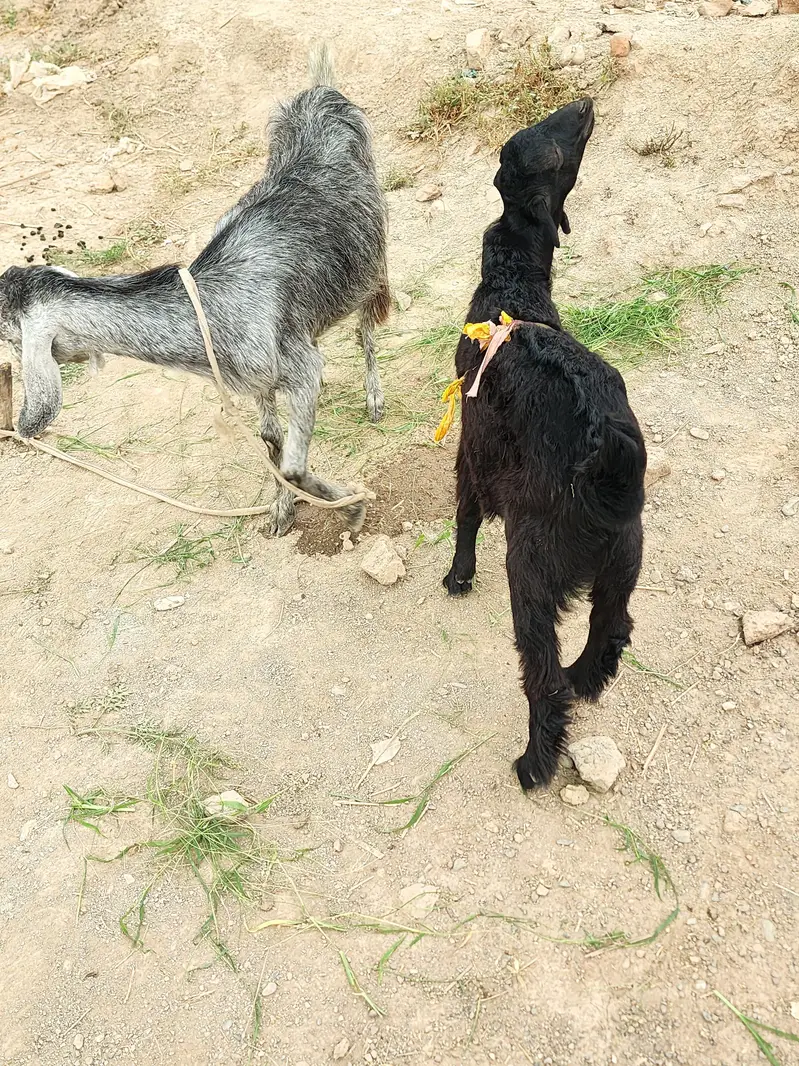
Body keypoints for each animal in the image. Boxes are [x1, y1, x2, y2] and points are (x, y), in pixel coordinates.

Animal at [0, 45, 390, 536]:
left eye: (9, 337)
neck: (210, 309)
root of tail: (320, 90)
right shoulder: (257, 378)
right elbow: (271, 440)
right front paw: (281, 510)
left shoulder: (301, 370)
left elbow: (293, 463)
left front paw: (351, 508)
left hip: (371, 255)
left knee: (367, 322)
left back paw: (374, 398)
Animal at [443, 98, 646, 790]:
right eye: (548, 143)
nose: (583, 104)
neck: (512, 289)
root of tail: (611, 473)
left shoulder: (471, 447)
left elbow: (465, 512)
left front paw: (457, 576)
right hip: (622, 566)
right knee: (611, 630)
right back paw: (585, 676)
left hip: (529, 570)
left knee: (543, 677)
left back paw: (535, 760)